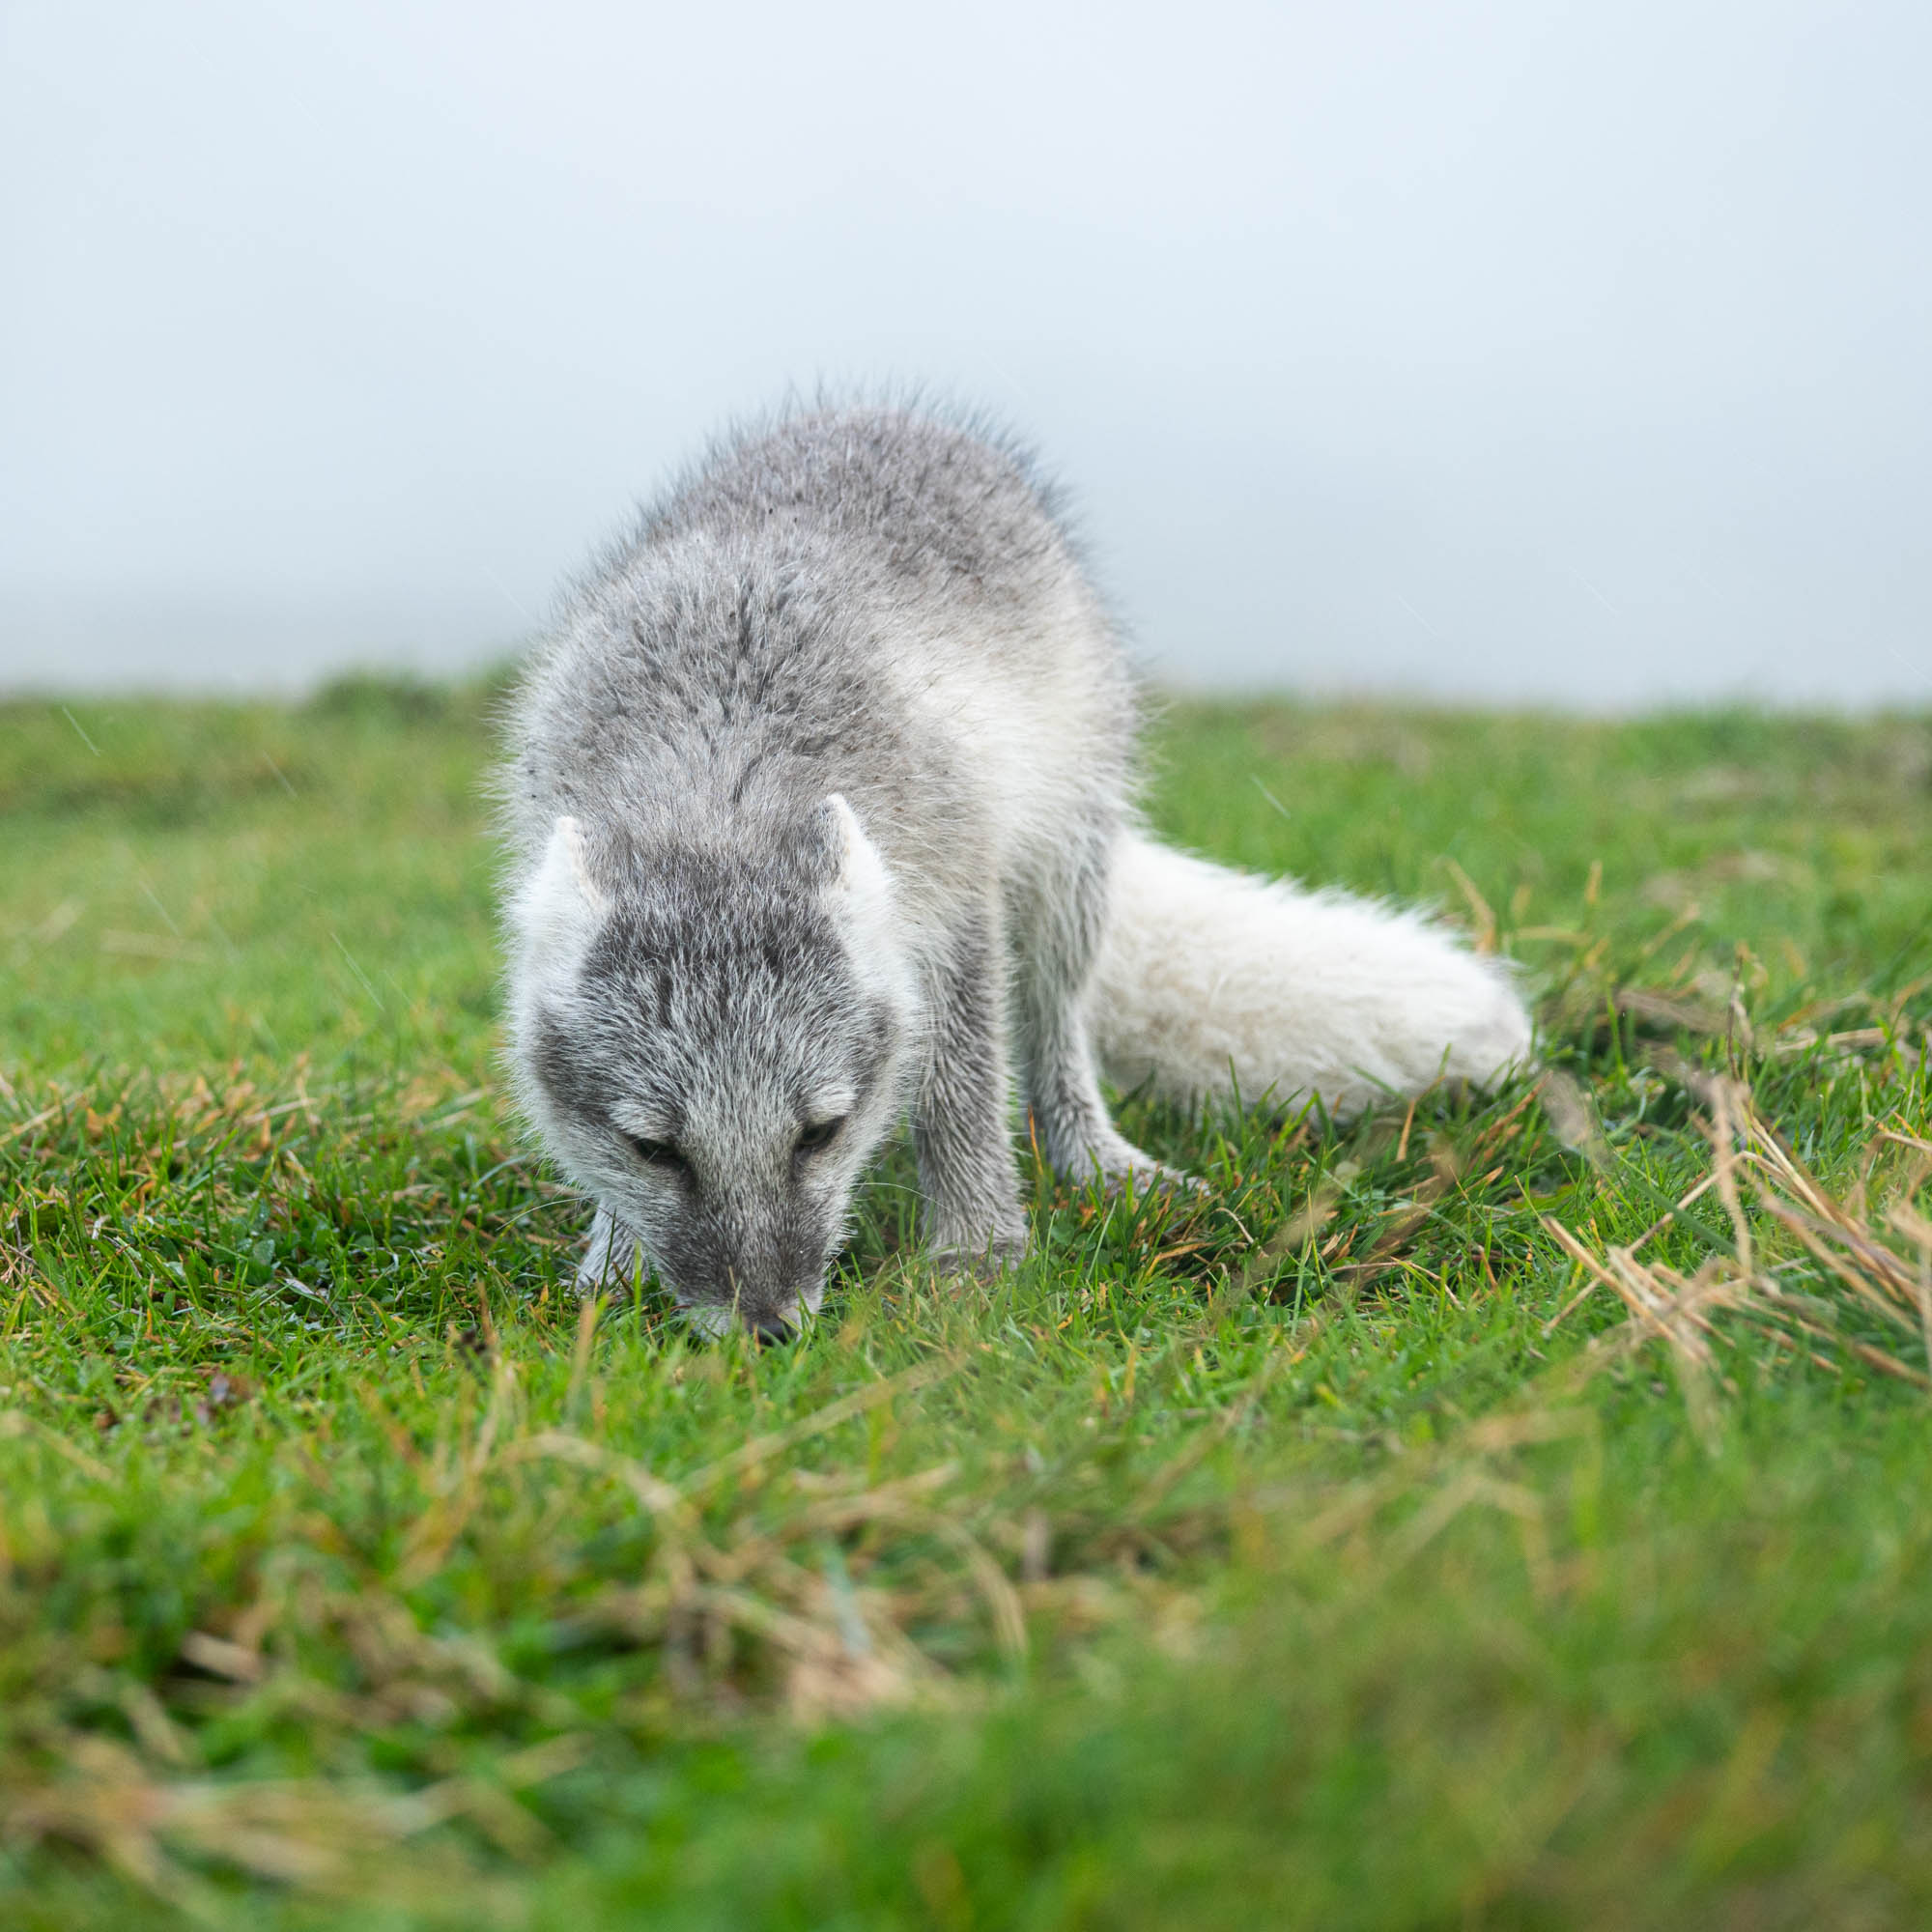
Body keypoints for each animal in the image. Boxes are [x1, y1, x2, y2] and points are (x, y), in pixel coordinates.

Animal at [500, 404, 1531, 1338]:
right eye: (654, 1149)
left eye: (821, 1134)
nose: (768, 1333)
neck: (720, 779)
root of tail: (883, 414)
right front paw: (614, 1265)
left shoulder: (956, 899)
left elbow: (962, 1087)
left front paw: (976, 1254)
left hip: (1070, 856)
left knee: (1055, 1026)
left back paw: (1097, 1159)